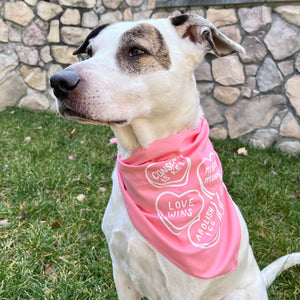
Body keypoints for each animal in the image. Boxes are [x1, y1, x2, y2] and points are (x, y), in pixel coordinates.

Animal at [50, 14, 298, 300]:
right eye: (89, 52)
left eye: (136, 51)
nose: (58, 81)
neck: (151, 158)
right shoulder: (121, 272)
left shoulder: (182, 288)